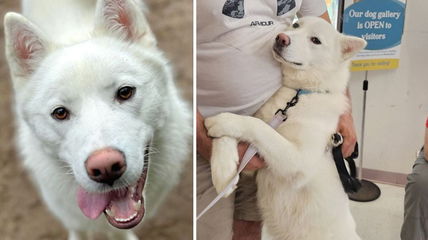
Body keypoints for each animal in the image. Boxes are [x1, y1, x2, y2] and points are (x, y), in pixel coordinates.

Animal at [206, 15, 366, 239]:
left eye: (315, 40)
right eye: (296, 25)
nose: (281, 38)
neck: (299, 94)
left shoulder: (298, 161)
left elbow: (257, 126)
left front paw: (223, 121)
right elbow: (237, 132)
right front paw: (223, 170)